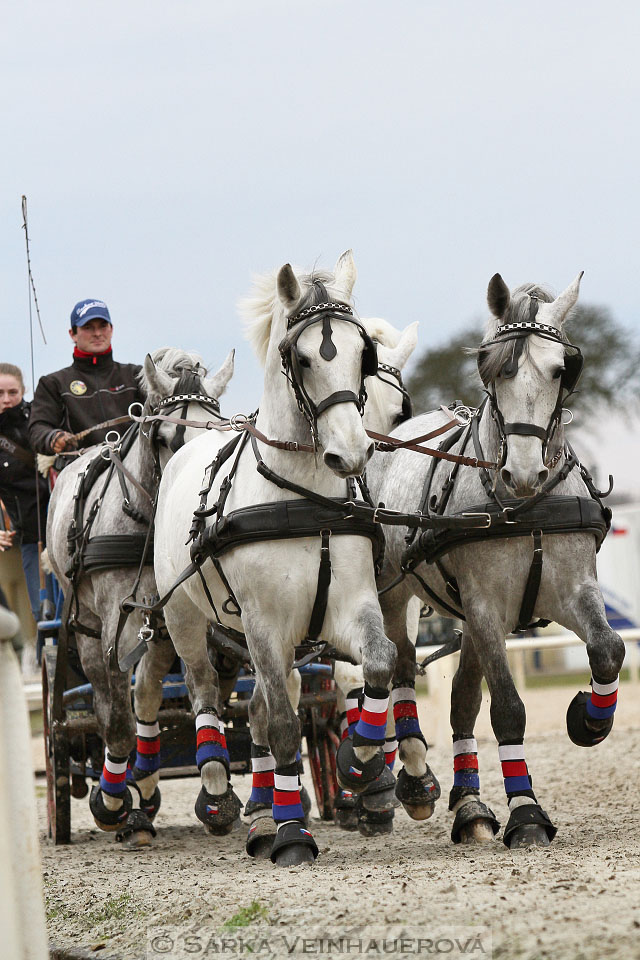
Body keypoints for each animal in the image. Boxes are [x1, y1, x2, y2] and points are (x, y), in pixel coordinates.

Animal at [46, 348, 235, 844]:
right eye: (166, 437)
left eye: (220, 427)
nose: (194, 506)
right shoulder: (117, 622)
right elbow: (116, 719)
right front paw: (112, 802)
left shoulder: (179, 612)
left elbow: (199, 683)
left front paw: (214, 794)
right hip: (89, 630)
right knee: (108, 702)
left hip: (155, 627)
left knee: (146, 694)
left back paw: (145, 787)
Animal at [154, 251, 400, 868]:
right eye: (302, 357)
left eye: (363, 354)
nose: (351, 452)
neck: (302, 499)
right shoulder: (264, 623)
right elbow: (287, 730)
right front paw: (292, 836)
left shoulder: (349, 606)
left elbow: (378, 666)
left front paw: (359, 764)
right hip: (186, 619)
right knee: (206, 695)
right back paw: (219, 795)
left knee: (262, 707)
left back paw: (264, 811)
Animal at [368, 272, 624, 848]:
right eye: (492, 368)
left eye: (562, 369)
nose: (524, 474)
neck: (523, 508)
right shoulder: (486, 604)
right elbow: (508, 707)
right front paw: (526, 812)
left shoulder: (573, 591)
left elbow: (608, 650)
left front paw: (588, 721)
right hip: (396, 593)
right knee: (400, 670)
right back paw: (414, 780)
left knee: (462, 699)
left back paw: (470, 808)